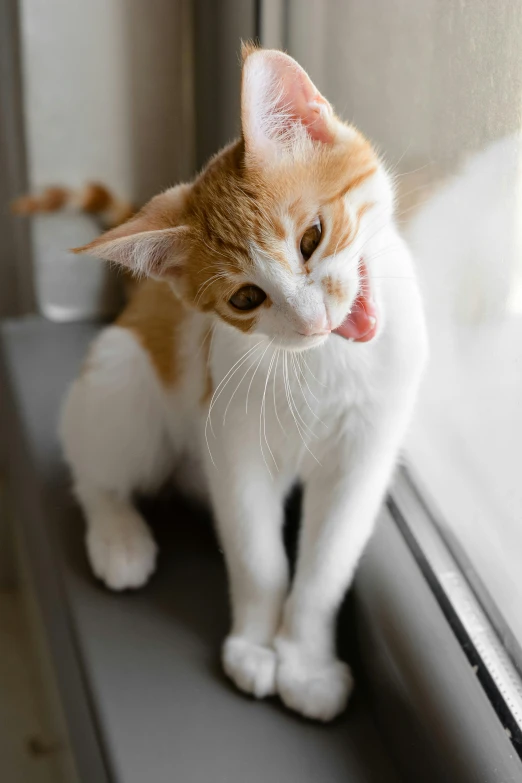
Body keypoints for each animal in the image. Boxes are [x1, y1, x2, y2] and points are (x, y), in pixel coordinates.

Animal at [59, 46, 424, 724]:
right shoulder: (232, 437)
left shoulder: (366, 449)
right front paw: (257, 646)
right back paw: (118, 534)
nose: (313, 319)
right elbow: (258, 554)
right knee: (93, 464)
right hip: (124, 377)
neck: (322, 363)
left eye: (311, 237)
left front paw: (305, 663)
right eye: (246, 298)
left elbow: (326, 564)